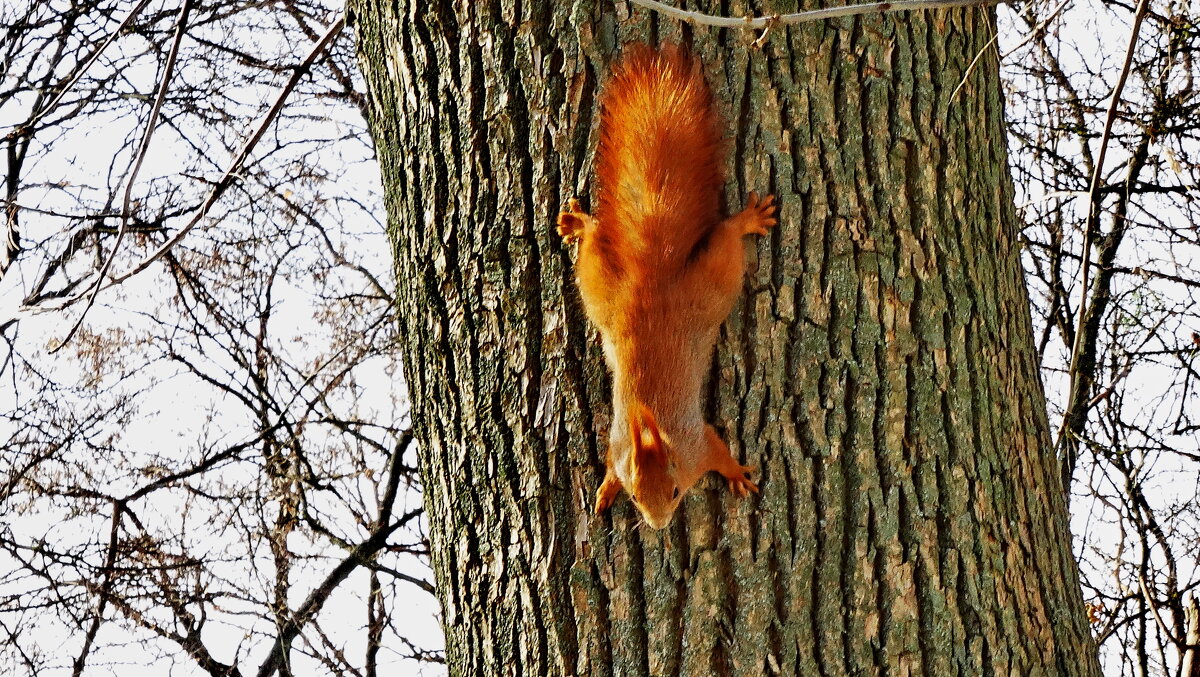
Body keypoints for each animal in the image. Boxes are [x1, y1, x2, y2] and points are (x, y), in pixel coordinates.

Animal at [554, 46, 777, 528]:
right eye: (637, 497)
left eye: (675, 491)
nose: (658, 526)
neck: (651, 427)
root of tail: (651, 280)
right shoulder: (619, 447)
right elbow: (611, 465)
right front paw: (606, 488)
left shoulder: (699, 444)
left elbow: (719, 452)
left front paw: (738, 475)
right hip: (603, 290)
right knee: (594, 243)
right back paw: (578, 223)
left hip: (711, 282)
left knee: (727, 236)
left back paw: (748, 220)